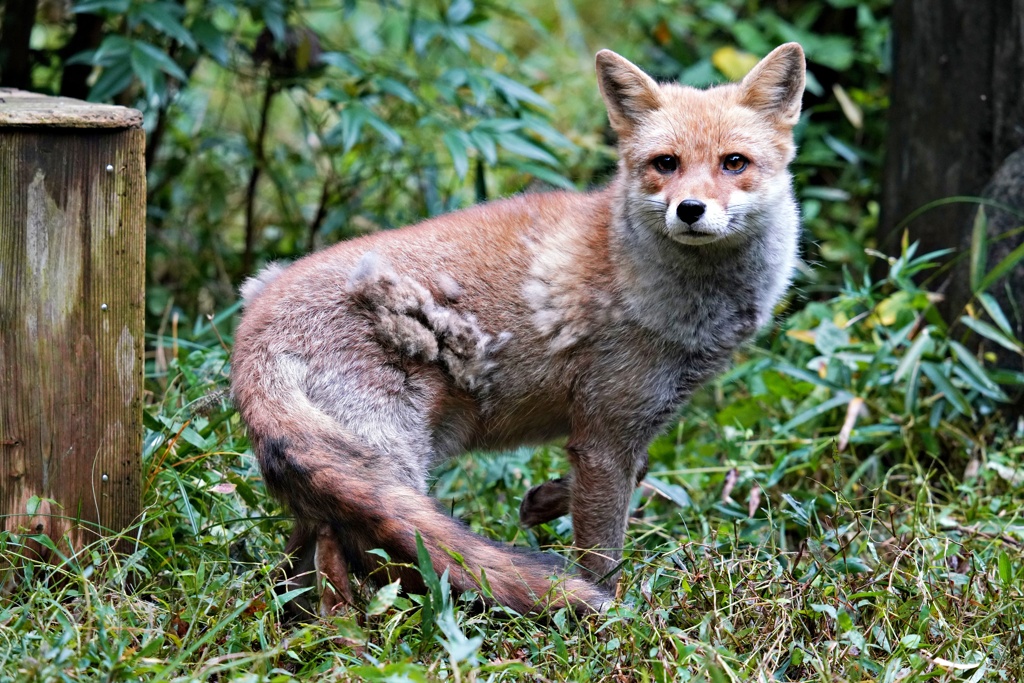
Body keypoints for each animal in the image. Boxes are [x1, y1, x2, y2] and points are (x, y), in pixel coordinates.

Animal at [232, 44, 806, 618]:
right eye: (666, 163)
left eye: (734, 163)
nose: (690, 210)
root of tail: (250, 331)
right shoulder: (606, 432)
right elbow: (601, 555)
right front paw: (612, 616)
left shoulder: (622, 429)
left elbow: (632, 474)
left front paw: (542, 502)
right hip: (391, 463)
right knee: (341, 542)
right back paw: (346, 630)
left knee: (305, 548)